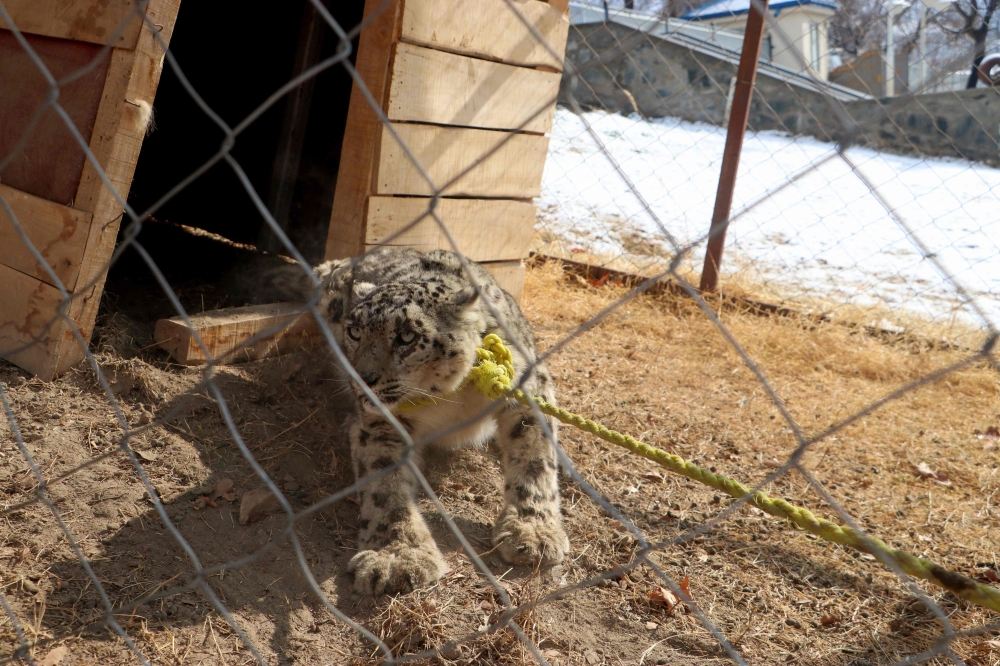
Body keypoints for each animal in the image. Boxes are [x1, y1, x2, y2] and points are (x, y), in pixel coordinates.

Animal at [275, 247, 569, 596]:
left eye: (406, 336)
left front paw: (533, 532)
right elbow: (385, 485)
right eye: (355, 331)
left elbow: (535, 460)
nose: (362, 379)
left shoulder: (527, 389)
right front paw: (397, 557)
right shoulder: (383, 422)